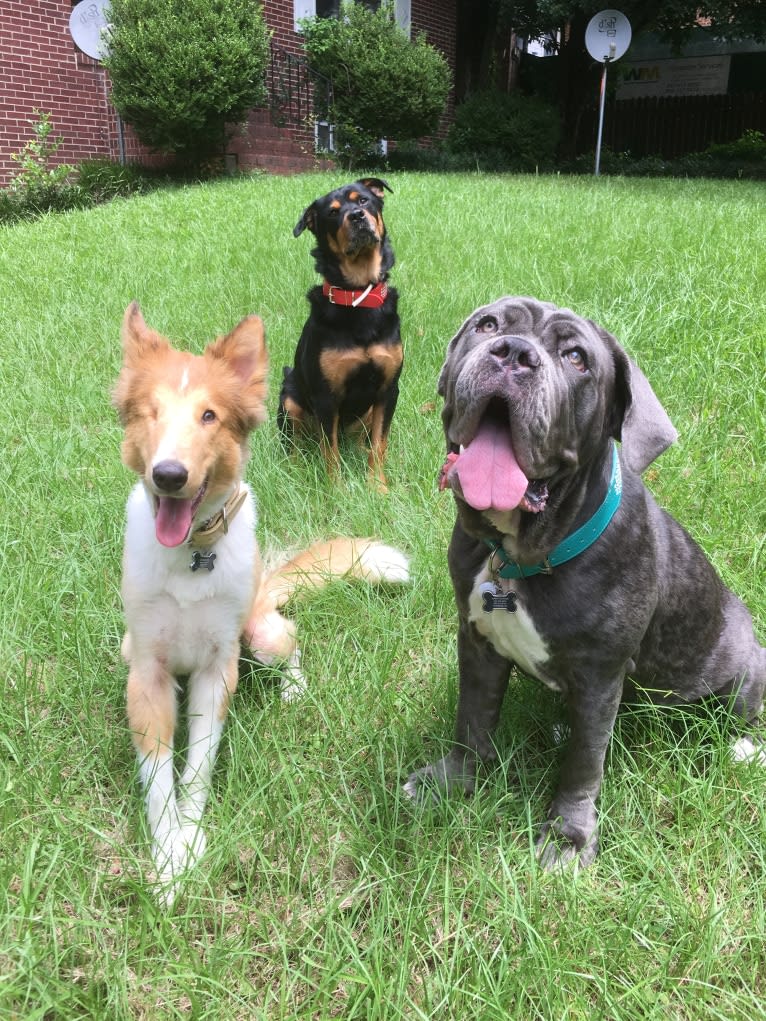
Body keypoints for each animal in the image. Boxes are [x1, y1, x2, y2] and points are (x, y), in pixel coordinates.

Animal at [111, 302, 410, 902]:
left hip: (261, 633)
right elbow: (158, 779)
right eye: (150, 413)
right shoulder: (148, 672)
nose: (169, 475)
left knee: (290, 641)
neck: (193, 557)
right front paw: (168, 859)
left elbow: (198, 767)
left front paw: (189, 844)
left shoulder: (216, 668)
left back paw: (294, 689)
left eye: (209, 416)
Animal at [279, 177, 404, 492]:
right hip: (289, 398)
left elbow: (379, 444)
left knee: (364, 439)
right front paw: (335, 490)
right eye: (333, 213)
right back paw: (294, 469)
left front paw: (378, 487)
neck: (358, 296)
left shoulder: (388, 390)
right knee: (295, 444)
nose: (357, 216)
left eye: (363, 200)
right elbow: (330, 450)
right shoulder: (327, 396)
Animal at [404, 296, 763, 869]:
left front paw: (568, 837)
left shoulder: (599, 676)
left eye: (576, 358)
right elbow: (472, 719)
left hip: (743, 665)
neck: (521, 554)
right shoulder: (477, 642)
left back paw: (745, 749)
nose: (513, 353)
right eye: (488, 325)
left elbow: (582, 763)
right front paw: (453, 782)